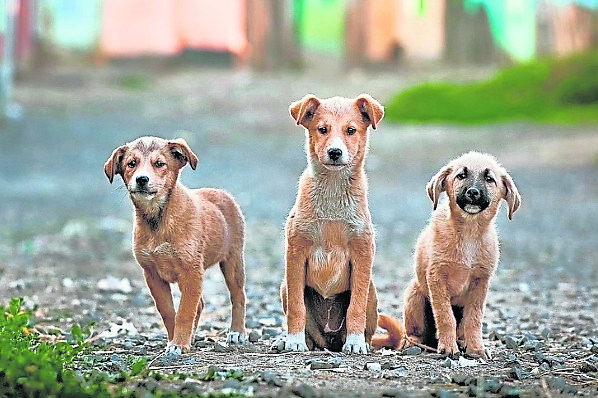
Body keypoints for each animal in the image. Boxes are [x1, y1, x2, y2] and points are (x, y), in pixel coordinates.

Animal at [104, 136, 247, 354]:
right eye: (131, 163)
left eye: (159, 164)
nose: (141, 179)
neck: (158, 220)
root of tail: (222, 193)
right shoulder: (152, 274)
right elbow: (169, 312)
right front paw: (175, 341)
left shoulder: (191, 271)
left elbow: (185, 312)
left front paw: (179, 343)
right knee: (200, 304)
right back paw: (193, 337)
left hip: (233, 261)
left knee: (238, 296)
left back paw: (237, 332)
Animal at [280, 94, 384, 354]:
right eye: (322, 129)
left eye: (351, 130)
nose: (335, 152)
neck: (333, 192)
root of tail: (330, 340)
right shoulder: (295, 252)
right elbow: (297, 307)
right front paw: (294, 341)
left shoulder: (362, 253)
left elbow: (355, 307)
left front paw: (355, 342)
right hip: (285, 286)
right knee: (311, 333)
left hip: (372, 292)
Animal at [376, 152, 520, 358]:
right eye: (461, 175)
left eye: (489, 179)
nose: (473, 192)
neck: (469, 232)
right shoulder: (436, 277)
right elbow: (445, 316)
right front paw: (448, 347)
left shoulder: (481, 282)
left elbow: (474, 319)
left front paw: (476, 348)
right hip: (414, 294)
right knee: (413, 332)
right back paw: (413, 343)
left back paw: (462, 342)